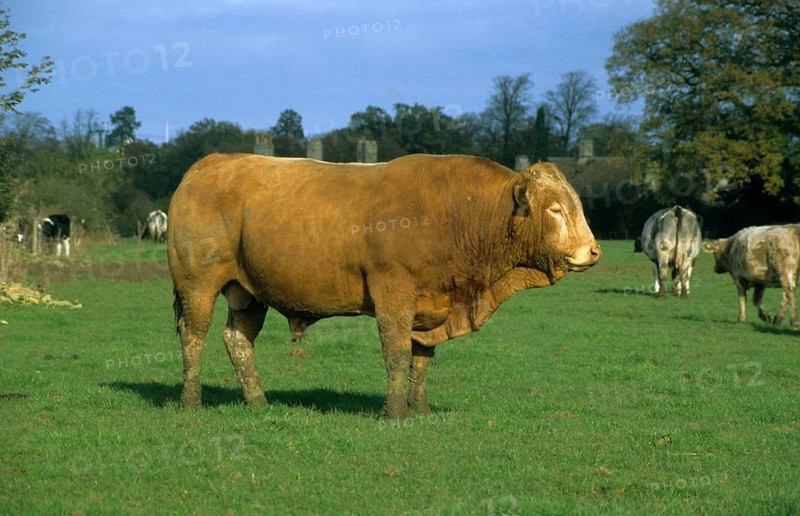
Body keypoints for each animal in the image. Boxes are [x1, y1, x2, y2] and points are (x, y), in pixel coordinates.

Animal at [168, 153, 601, 418]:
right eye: (555, 210)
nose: (593, 251)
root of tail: (211, 163)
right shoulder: (393, 292)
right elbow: (396, 352)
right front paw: (395, 413)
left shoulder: (432, 304)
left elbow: (421, 359)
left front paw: (421, 409)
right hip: (198, 284)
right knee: (193, 335)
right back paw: (190, 400)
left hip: (249, 291)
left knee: (237, 339)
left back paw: (257, 400)